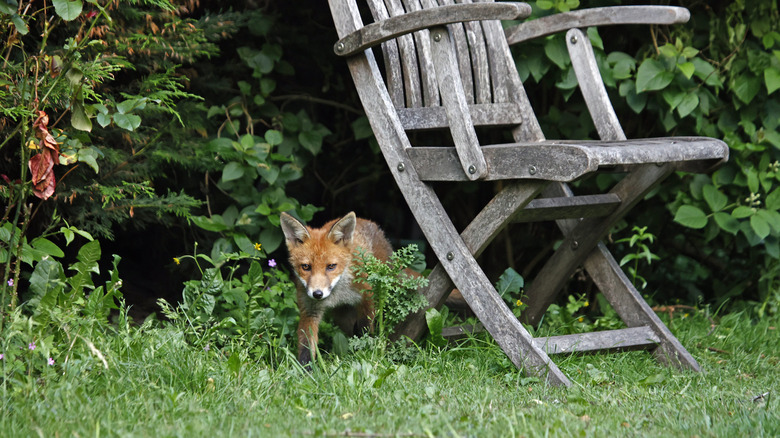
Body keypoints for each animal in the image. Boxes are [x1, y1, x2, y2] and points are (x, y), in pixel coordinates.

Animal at [280, 211, 393, 366]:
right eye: (306, 267)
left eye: (331, 266)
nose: (317, 294)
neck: (336, 296)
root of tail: (368, 221)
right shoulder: (309, 310)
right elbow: (306, 344)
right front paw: (305, 368)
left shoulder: (367, 298)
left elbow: (364, 329)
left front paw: (364, 352)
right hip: (342, 317)